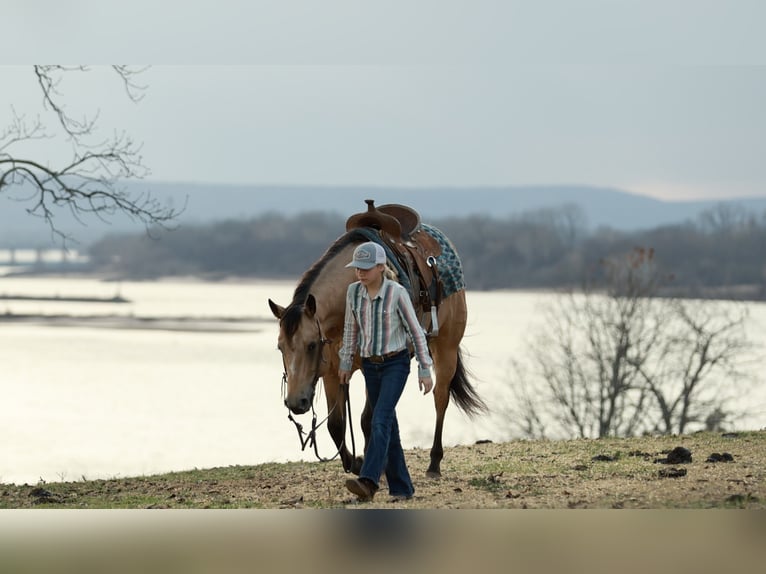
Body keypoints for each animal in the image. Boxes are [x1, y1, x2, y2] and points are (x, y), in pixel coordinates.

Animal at [268, 215, 486, 478]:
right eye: (280, 348)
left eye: (311, 345)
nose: (295, 403)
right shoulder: (332, 373)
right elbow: (336, 424)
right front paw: (355, 463)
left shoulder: (373, 364)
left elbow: (365, 419)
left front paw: (371, 466)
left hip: (446, 348)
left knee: (440, 398)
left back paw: (434, 463)